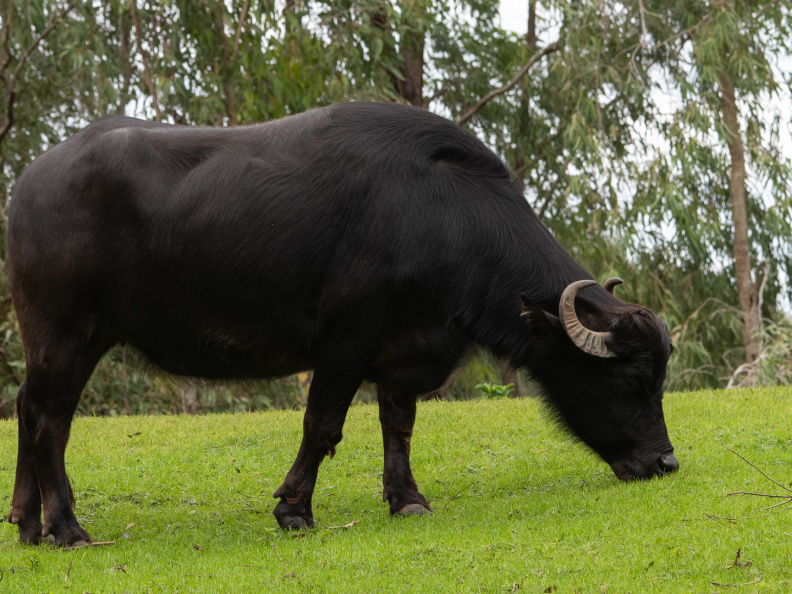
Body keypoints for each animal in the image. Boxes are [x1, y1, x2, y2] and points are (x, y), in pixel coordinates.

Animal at [6, 102, 677, 546]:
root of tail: (29, 182)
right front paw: (294, 510)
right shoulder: (345, 341)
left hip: (67, 339)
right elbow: (323, 424)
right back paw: (67, 528)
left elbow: (399, 426)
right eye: (628, 382)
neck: (440, 215)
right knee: (49, 421)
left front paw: (407, 499)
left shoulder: (403, 351)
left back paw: (26, 521)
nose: (666, 463)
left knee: (29, 408)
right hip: (63, 332)